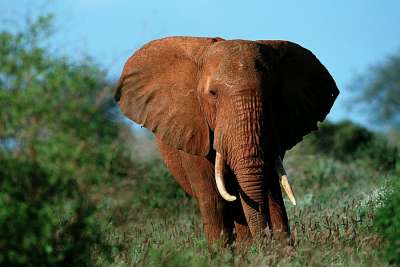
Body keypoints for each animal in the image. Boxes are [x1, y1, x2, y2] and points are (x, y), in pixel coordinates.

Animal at [112, 36, 338, 248]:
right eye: (213, 94)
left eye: (272, 94)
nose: (265, 240)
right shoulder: (194, 132)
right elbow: (214, 199)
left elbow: (271, 188)